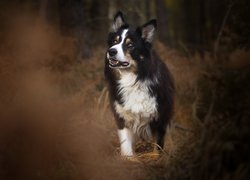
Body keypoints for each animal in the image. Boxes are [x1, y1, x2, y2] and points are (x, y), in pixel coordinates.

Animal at [104, 11, 175, 157]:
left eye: (130, 45)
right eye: (114, 42)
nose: (111, 51)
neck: (132, 79)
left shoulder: (160, 119)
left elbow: (157, 147)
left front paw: (156, 159)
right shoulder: (122, 117)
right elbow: (126, 146)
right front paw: (129, 159)